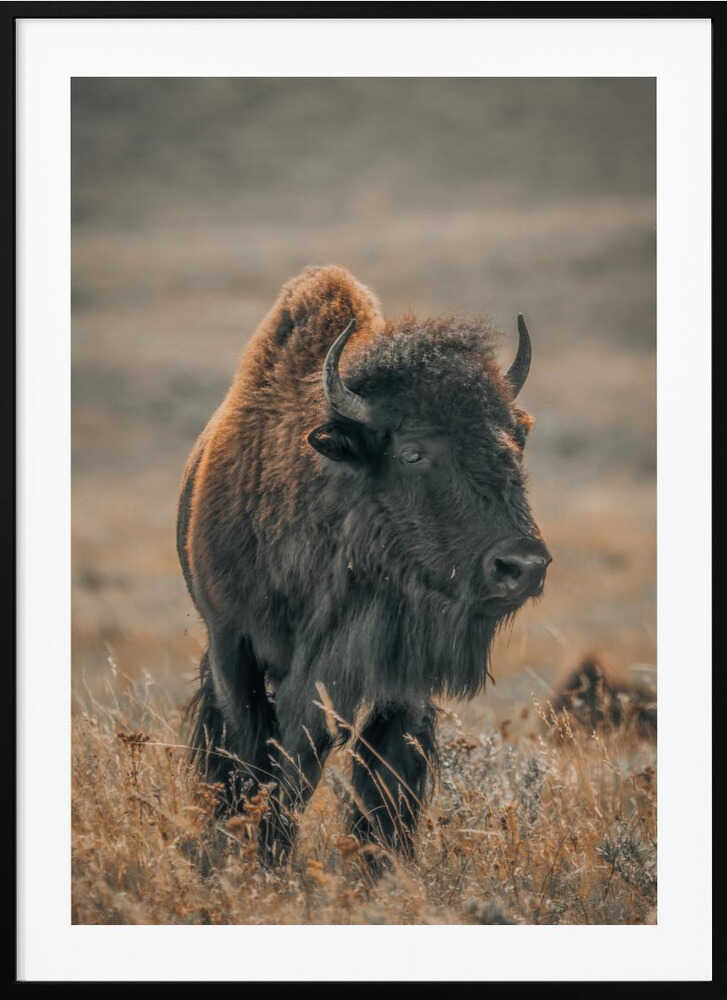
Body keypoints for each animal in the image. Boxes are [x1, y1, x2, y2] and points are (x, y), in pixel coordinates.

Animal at [177, 265, 550, 868]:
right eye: (413, 452)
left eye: (515, 442)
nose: (522, 566)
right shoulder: (233, 644)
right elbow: (258, 757)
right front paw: (256, 854)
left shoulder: (397, 678)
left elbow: (384, 777)